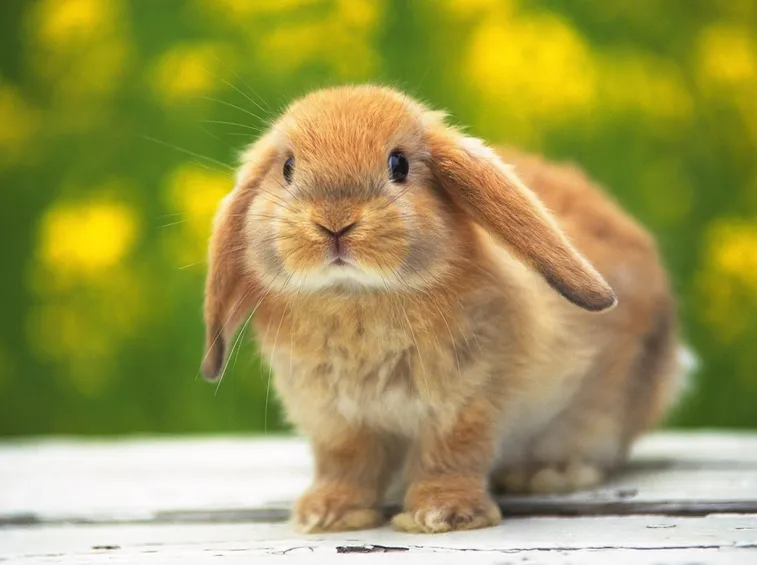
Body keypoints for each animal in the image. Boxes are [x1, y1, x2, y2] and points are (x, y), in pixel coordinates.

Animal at [200, 85, 688, 534]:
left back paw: (547, 474)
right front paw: (327, 514)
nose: (334, 221)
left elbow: (450, 456)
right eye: (287, 168)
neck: (356, 297)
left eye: (399, 165)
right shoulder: (334, 419)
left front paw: (441, 515)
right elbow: (346, 464)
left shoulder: (466, 403)